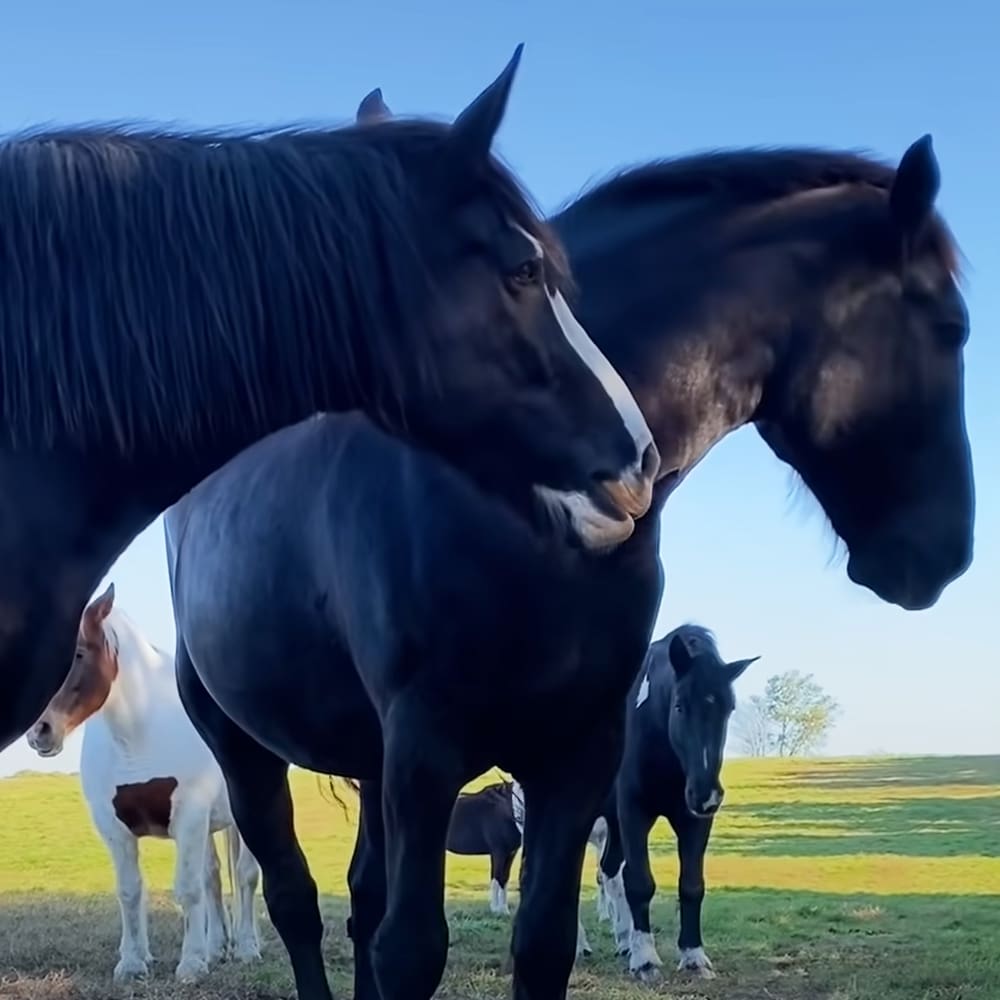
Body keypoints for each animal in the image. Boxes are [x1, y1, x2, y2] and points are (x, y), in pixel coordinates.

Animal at [25, 585, 262, 984]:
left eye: (78, 653)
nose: (39, 732)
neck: (140, 730)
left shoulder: (188, 816)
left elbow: (188, 889)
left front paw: (191, 963)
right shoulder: (115, 827)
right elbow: (131, 891)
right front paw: (133, 963)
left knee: (245, 875)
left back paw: (246, 947)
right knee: (213, 878)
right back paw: (217, 947)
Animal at [444, 781, 522, 916]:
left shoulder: (510, 853)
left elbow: (504, 879)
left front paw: (504, 910)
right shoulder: (498, 852)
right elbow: (496, 879)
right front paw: (496, 910)